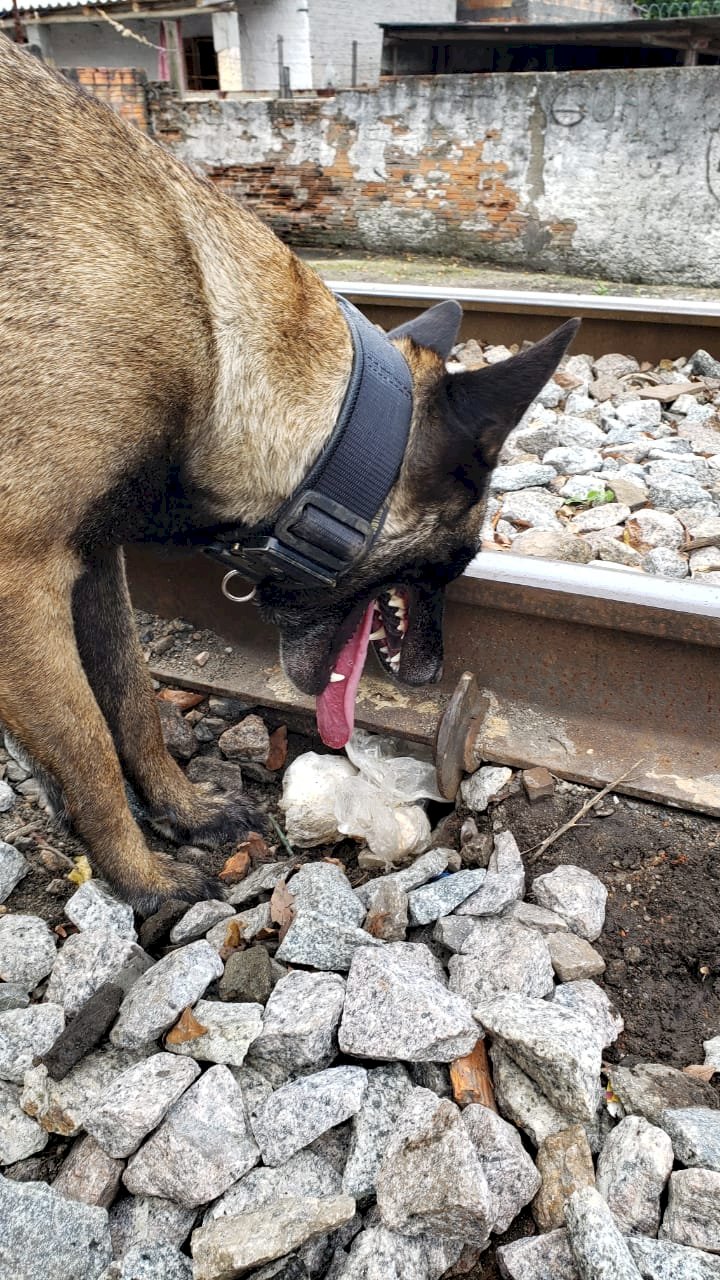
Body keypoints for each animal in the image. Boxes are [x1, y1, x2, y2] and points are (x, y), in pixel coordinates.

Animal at [0, 35, 573, 916]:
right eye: (462, 558)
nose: (434, 674)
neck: (213, 345)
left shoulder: (93, 561)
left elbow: (130, 701)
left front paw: (183, 812)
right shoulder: (21, 582)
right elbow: (90, 748)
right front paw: (142, 879)